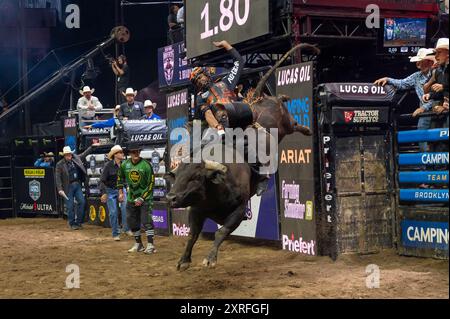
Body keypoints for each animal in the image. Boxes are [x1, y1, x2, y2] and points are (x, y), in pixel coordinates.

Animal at [165, 43, 320, 272]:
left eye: (195, 177)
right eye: (178, 176)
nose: (171, 198)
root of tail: (257, 100)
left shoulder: (239, 212)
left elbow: (220, 232)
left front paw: (210, 258)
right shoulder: (197, 209)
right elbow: (193, 234)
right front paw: (183, 260)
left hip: (285, 124)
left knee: (293, 123)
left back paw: (304, 126)